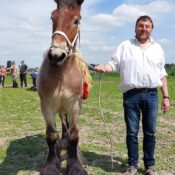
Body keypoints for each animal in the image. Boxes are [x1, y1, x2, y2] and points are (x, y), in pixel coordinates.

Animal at [38, 0, 87, 175]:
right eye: (52, 17)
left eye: (76, 20)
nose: (55, 56)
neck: (62, 74)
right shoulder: (46, 105)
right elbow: (51, 135)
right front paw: (52, 165)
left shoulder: (75, 105)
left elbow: (74, 135)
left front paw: (75, 167)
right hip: (59, 108)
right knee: (63, 122)